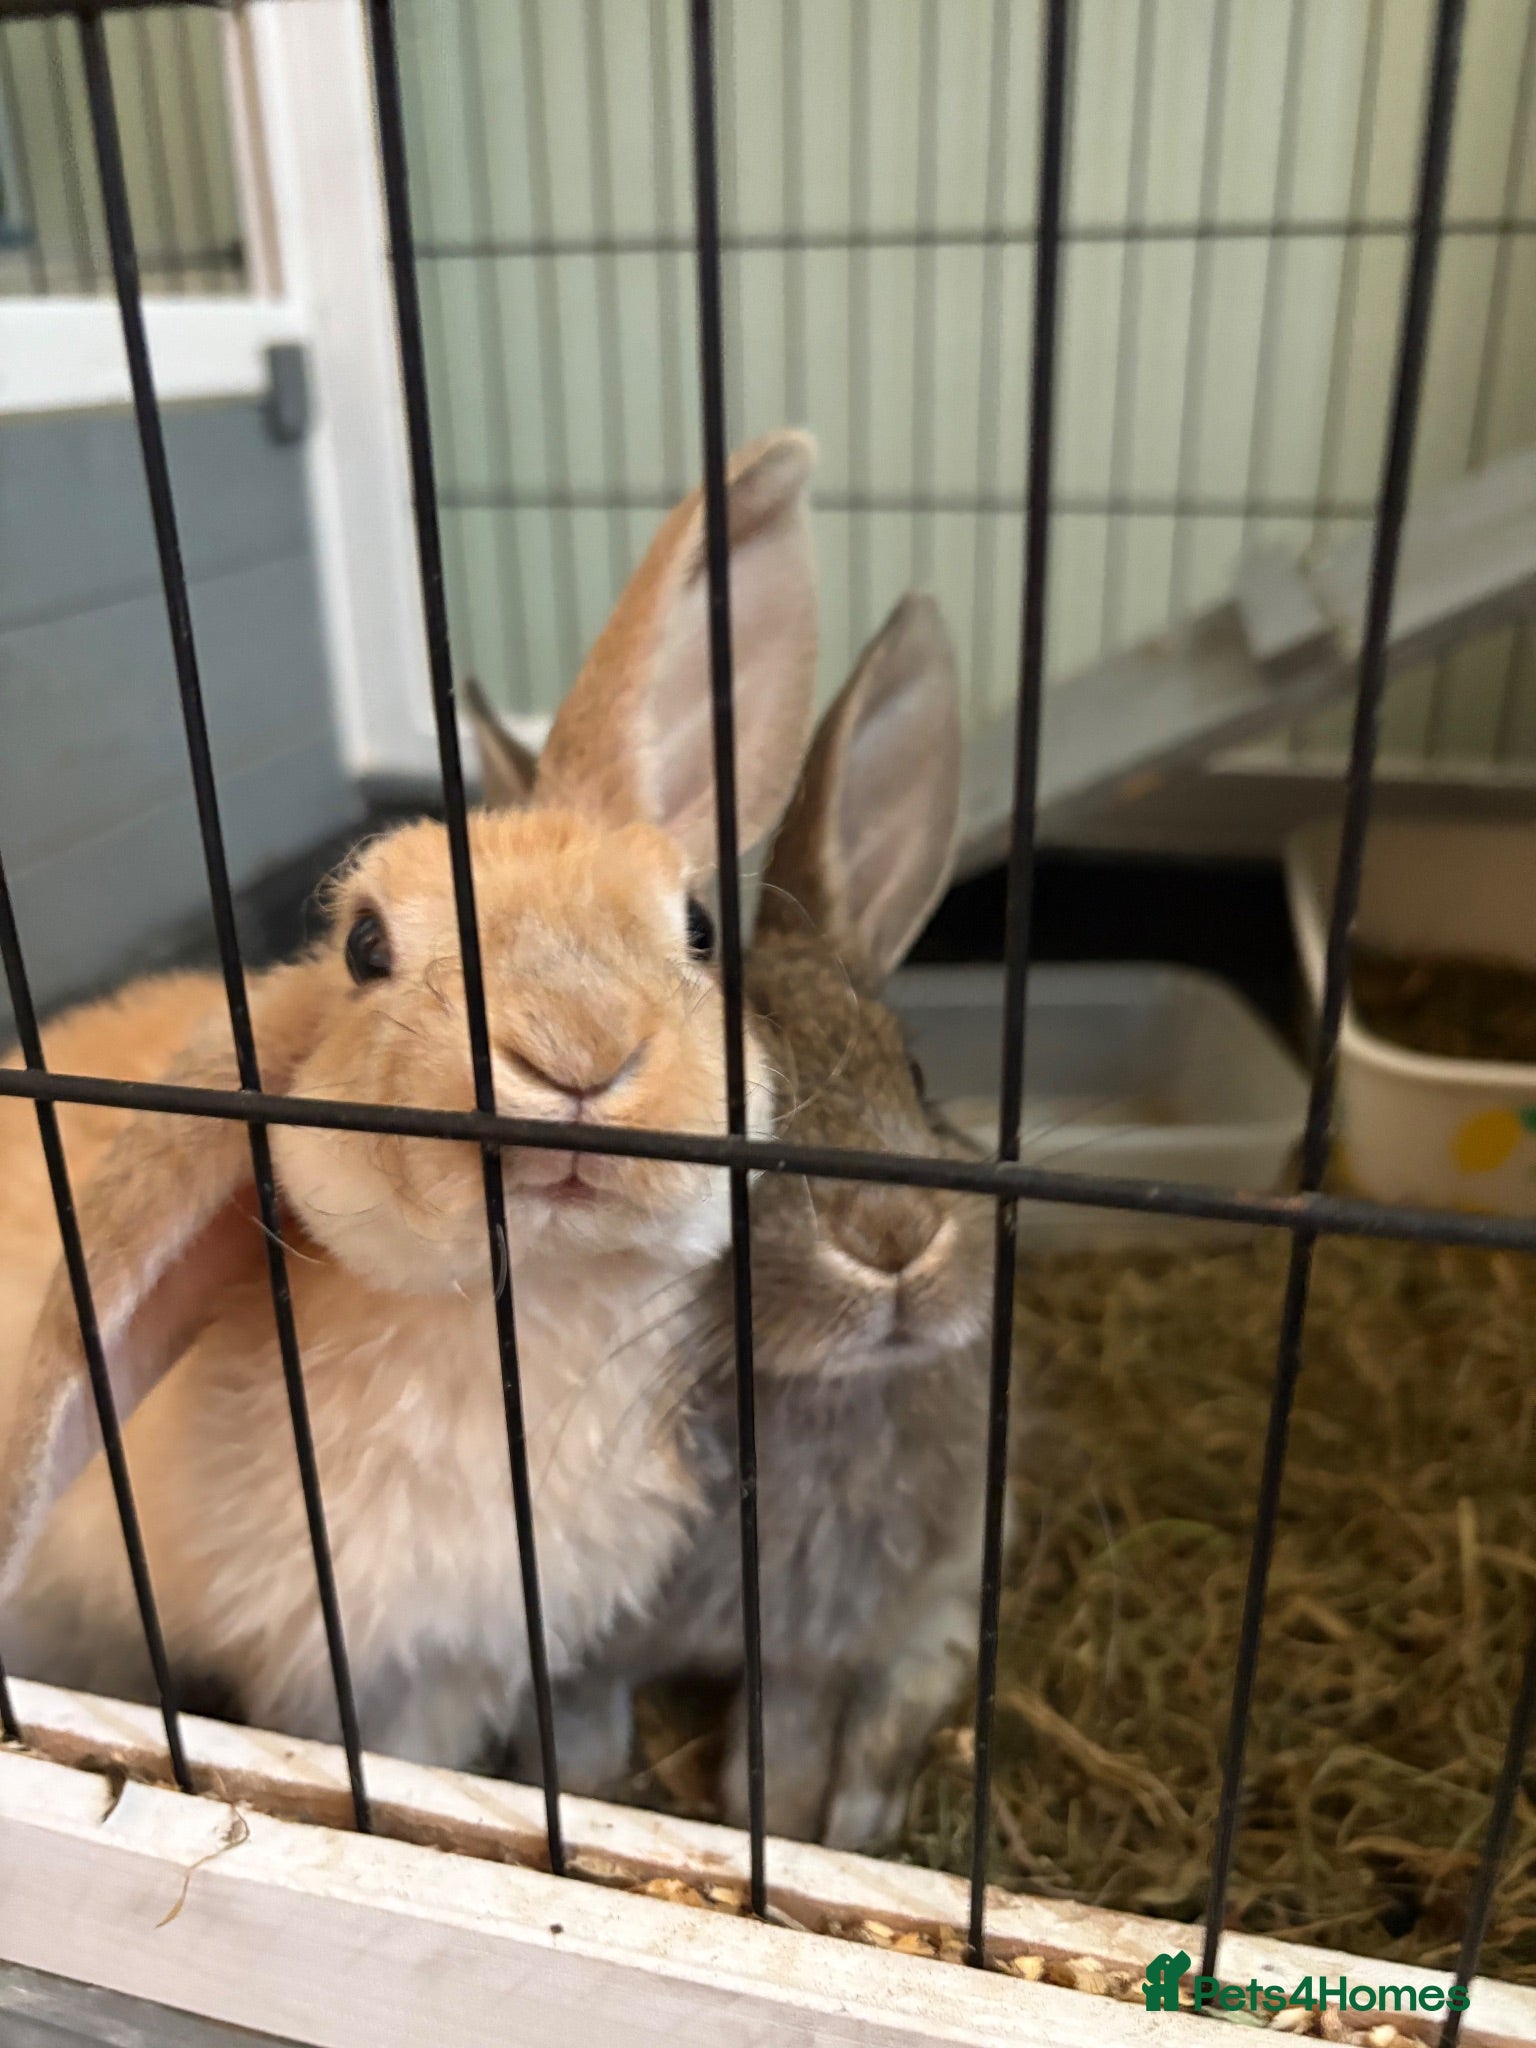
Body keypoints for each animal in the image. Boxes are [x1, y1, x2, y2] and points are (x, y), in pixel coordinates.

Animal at [504, 592, 996, 1848]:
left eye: (918, 1075)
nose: (893, 1237)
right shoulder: (584, 1625)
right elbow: (587, 1712)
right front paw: (583, 1788)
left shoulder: (818, 1639)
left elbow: (792, 1729)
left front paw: (775, 1814)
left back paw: (861, 1818)